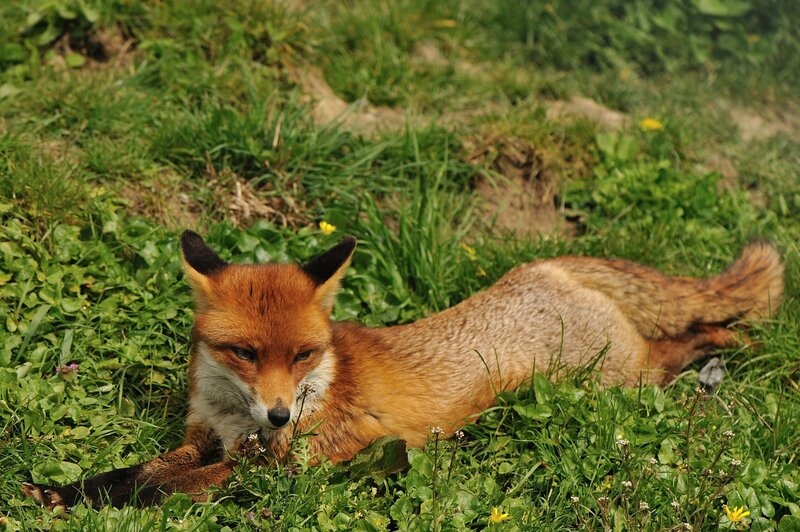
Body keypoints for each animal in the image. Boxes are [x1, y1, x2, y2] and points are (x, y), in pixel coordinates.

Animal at [24, 231, 783, 509]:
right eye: (245, 353)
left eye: (302, 354)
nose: (279, 413)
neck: (236, 417)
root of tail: (544, 266)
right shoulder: (203, 440)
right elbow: (138, 474)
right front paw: (61, 492)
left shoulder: (287, 466)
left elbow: (161, 491)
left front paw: (89, 504)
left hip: (615, 382)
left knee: (677, 348)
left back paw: (729, 348)